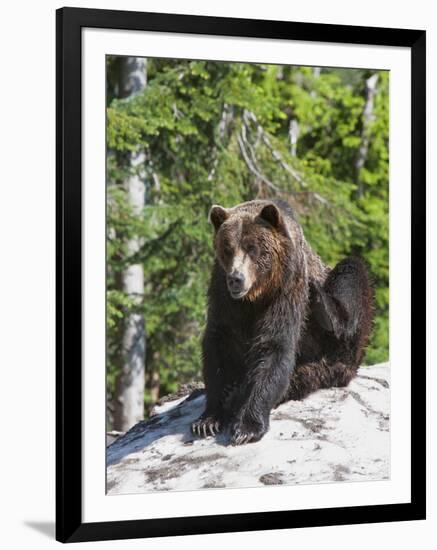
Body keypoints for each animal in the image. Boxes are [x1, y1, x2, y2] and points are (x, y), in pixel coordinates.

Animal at [191, 201, 372, 446]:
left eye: (252, 247)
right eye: (227, 248)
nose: (236, 279)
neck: (257, 293)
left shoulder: (287, 287)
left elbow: (274, 345)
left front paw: (247, 427)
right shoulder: (223, 294)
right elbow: (218, 344)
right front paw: (208, 419)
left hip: (338, 342)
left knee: (352, 272)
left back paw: (325, 308)